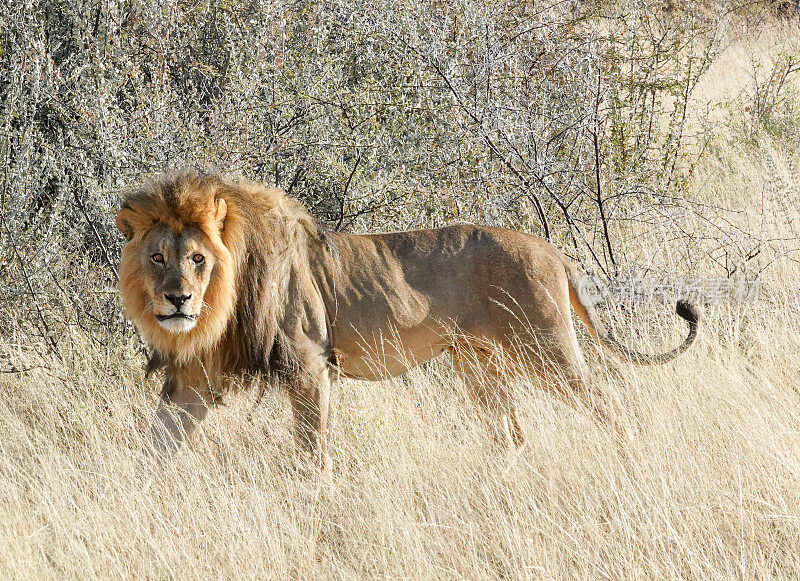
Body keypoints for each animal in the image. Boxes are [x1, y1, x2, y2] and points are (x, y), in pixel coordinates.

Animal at [115, 170, 696, 468]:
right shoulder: (195, 378)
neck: (220, 304)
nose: (177, 301)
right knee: (512, 436)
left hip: (546, 348)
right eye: (157, 257)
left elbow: (311, 455)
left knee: (610, 404)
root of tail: (552, 250)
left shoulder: (309, 365)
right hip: (478, 365)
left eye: (198, 259)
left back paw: (631, 460)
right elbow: (155, 447)